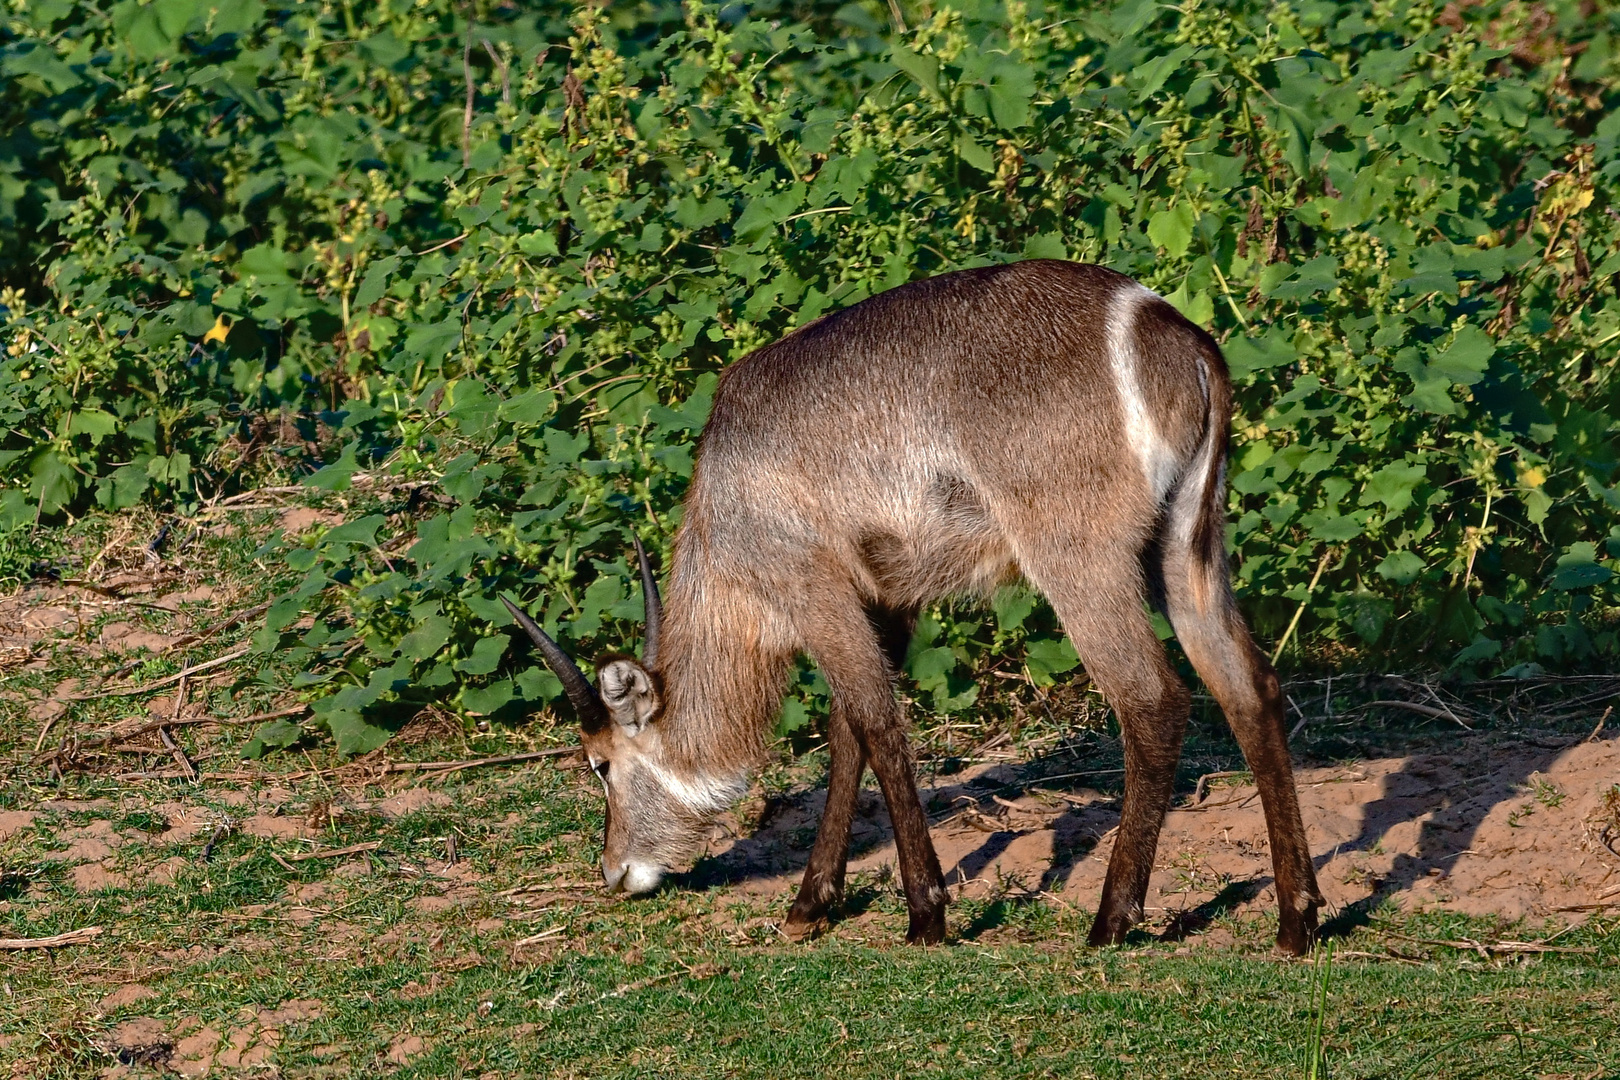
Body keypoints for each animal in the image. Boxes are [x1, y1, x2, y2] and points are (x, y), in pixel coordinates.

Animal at [505, 262, 1328, 952]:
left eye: (599, 765)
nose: (613, 872)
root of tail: (1163, 324)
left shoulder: (816, 590)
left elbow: (876, 723)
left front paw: (926, 913)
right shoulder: (888, 598)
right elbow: (848, 736)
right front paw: (811, 904)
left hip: (1079, 560)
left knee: (1153, 699)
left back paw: (1111, 921)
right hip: (1188, 548)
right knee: (1249, 687)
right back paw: (1296, 922)